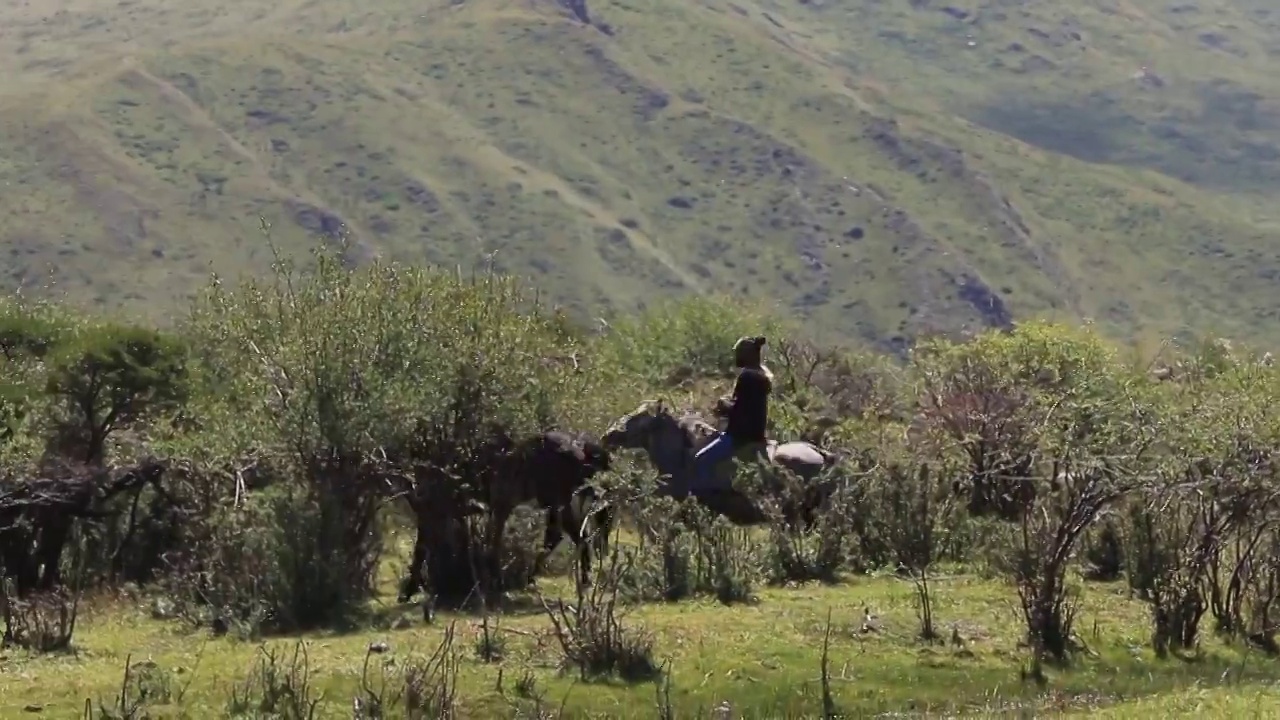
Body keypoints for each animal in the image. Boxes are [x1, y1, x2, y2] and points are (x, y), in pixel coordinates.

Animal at [399, 425, 619, 599]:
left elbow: (423, 546)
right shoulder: (495, 507)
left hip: (556, 499)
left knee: (571, 534)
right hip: (559, 500)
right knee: (575, 533)